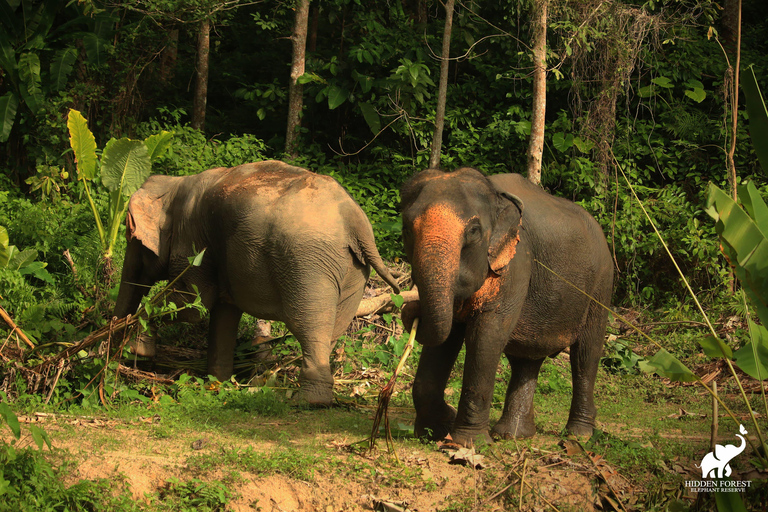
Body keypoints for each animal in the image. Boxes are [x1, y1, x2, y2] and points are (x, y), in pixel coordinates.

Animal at [116, 158, 402, 406]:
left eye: (132, 237)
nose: (114, 352)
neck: (174, 184)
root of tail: (356, 222)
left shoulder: (192, 239)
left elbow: (195, 303)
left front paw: (138, 350)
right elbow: (223, 313)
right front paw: (217, 384)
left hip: (307, 262)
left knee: (308, 323)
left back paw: (308, 401)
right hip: (352, 269)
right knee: (334, 326)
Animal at [402, 169, 612, 448]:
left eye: (474, 231)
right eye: (406, 229)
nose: (411, 309)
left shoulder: (516, 265)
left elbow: (486, 337)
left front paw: (469, 442)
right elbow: (446, 337)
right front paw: (437, 429)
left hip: (601, 288)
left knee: (586, 353)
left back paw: (579, 435)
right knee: (526, 359)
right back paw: (512, 435)